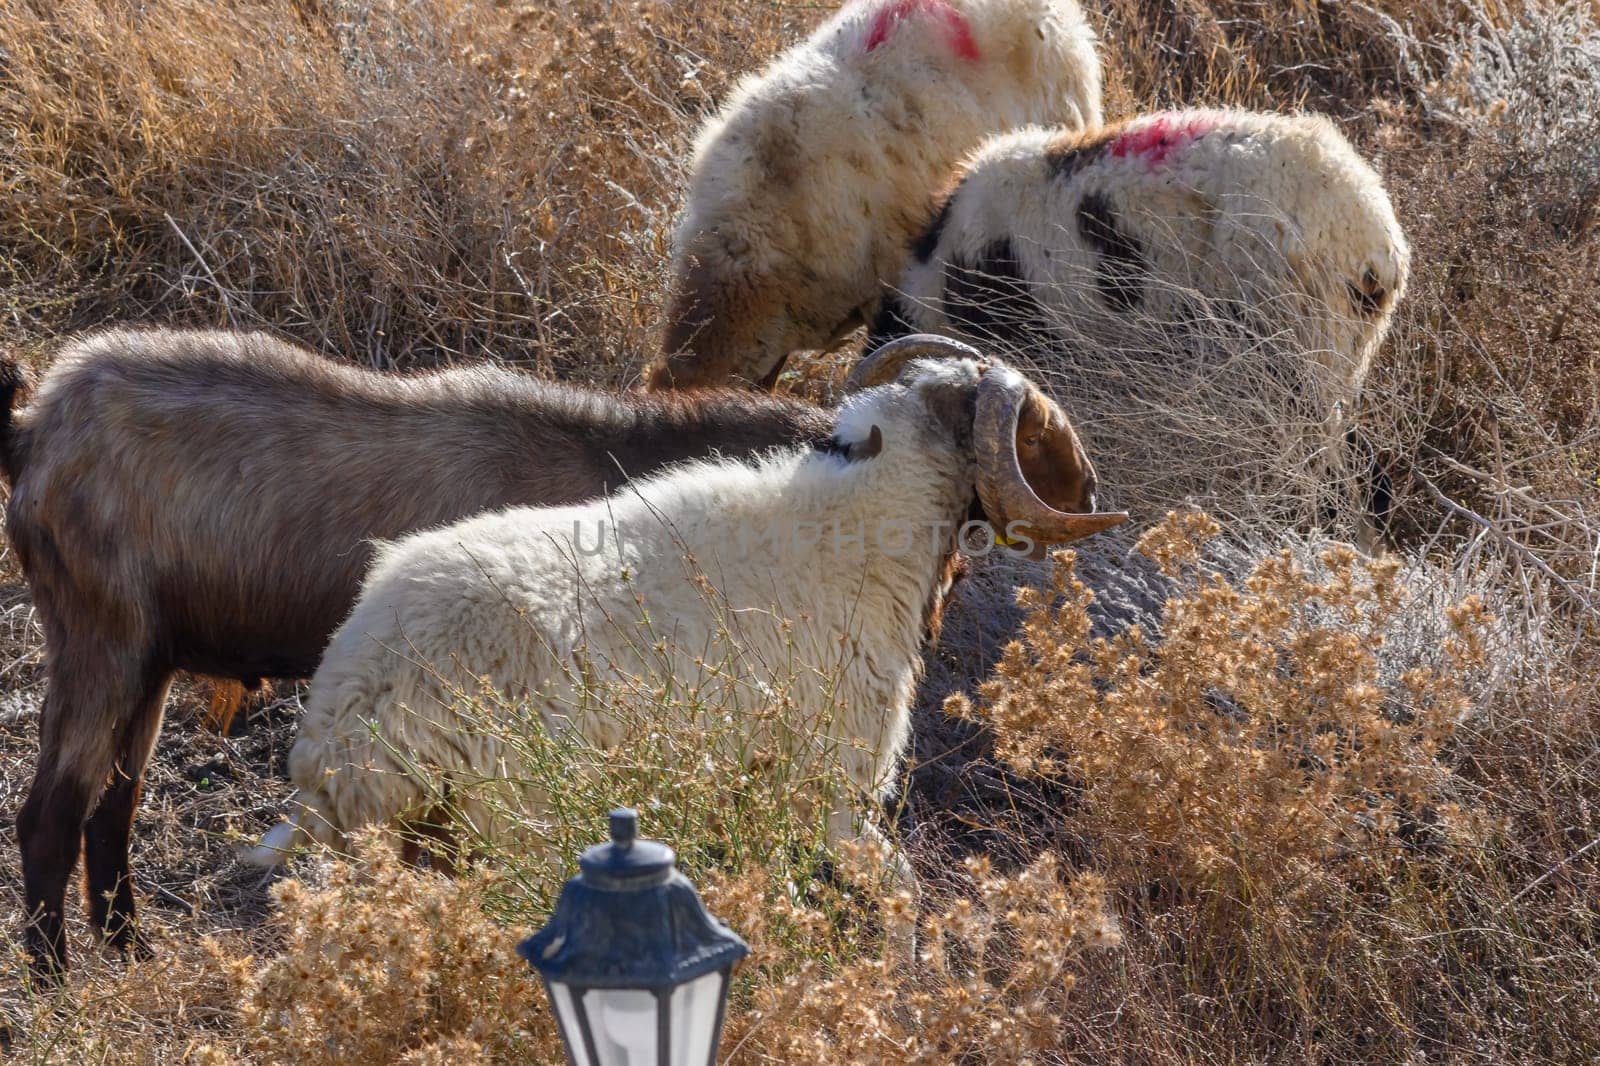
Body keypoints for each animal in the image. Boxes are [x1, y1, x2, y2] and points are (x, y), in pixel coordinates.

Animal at [3, 323, 838, 973]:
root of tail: (35, 426)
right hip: (102, 646)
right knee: (50, 816)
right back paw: (54, 979)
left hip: (150, 664)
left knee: (112, 807)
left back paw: (128, 946)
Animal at [249, 336, 1126, 947]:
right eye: (1035, 425)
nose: (1093, 490)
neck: (866, 518)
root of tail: (345, 711)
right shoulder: (833, 781)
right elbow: (902, 888)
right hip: (505, 819)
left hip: (415, 841)